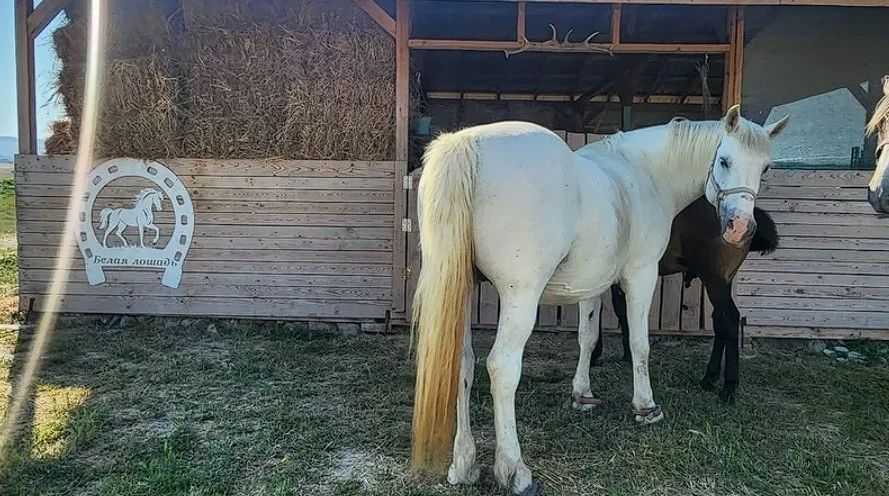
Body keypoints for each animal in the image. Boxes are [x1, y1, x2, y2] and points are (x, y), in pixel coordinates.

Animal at [579, 197, 779, 406]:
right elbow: (620, 311)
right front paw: (625, 354)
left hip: (715, 279)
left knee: (729, 320)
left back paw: (729, 387)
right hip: (723, 281)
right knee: (719, 321)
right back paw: (709, 378)